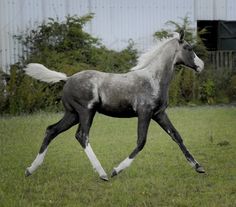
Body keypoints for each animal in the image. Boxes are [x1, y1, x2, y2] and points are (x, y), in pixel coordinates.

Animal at [24, 30, 205, 181]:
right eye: (188, 48)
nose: (201, 65)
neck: (153, 79)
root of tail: (67, 79)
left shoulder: (159, 114)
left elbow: (176, 136)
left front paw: (198, 167)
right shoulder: (144, 113)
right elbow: (141, 141)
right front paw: (116, 170)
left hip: (72, 114)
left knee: (51, 130)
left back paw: (30, 170)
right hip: (86, 112)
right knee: (82, 136)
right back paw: (103, 173)